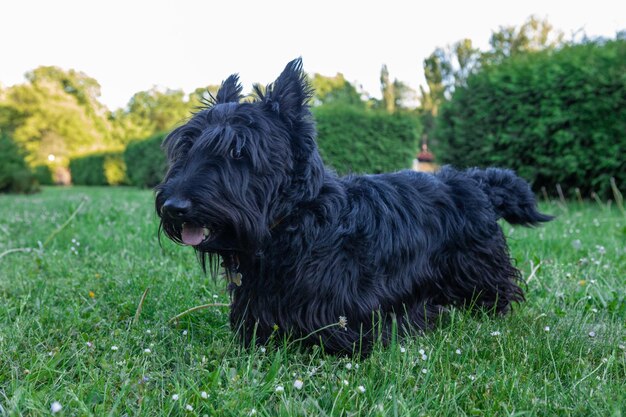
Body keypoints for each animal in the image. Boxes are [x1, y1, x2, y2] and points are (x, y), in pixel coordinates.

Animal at [156, 58, 552, 356]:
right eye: (186, 147)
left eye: (239, 151)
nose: (174, 207)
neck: (297, 221)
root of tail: (474, 180)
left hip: (477, 267)